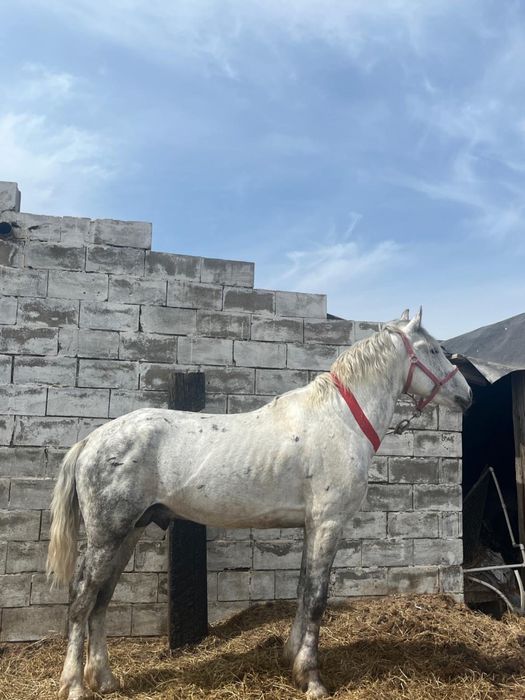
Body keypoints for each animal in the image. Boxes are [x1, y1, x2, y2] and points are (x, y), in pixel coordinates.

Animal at [47, 308, 472, 699]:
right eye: (433, 349)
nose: (467, 395)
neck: (340, 419)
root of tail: (92, 440)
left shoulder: (312, 526)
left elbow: (302, 591)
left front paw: (291, 659)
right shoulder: (328, 524)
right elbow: (316, 599)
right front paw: (312, 679)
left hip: (129, 532)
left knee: (101, 601)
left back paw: (104, 679)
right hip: (107, 535)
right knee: (81, 601)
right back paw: (74, 685)